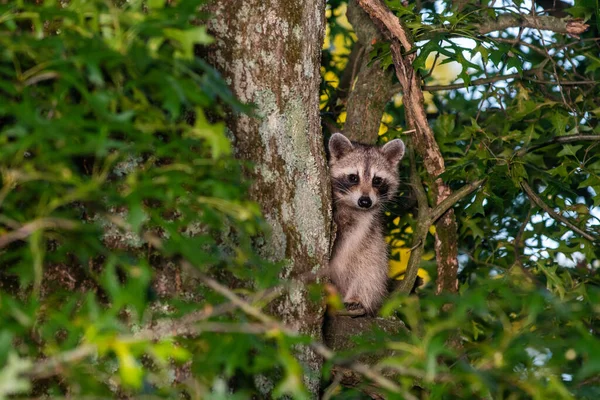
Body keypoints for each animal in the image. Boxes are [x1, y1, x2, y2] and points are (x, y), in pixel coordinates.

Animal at [326, 133, 406, 314]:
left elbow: (370, 267)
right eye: (353, 177)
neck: (353, 208)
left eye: (377, 180)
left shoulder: (368, 226)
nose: (365, 201)